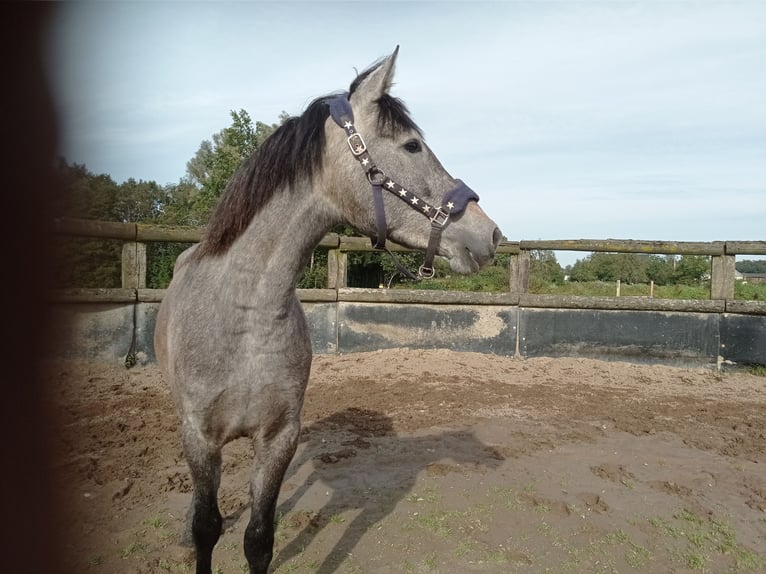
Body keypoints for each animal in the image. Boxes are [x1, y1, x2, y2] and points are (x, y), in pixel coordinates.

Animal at [155, 46, 504, 574]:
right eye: (411, 146)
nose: (491, 234)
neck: (243, 317)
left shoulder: (280, 438)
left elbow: (259, 538)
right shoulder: (200, 438)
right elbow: (206, 528)